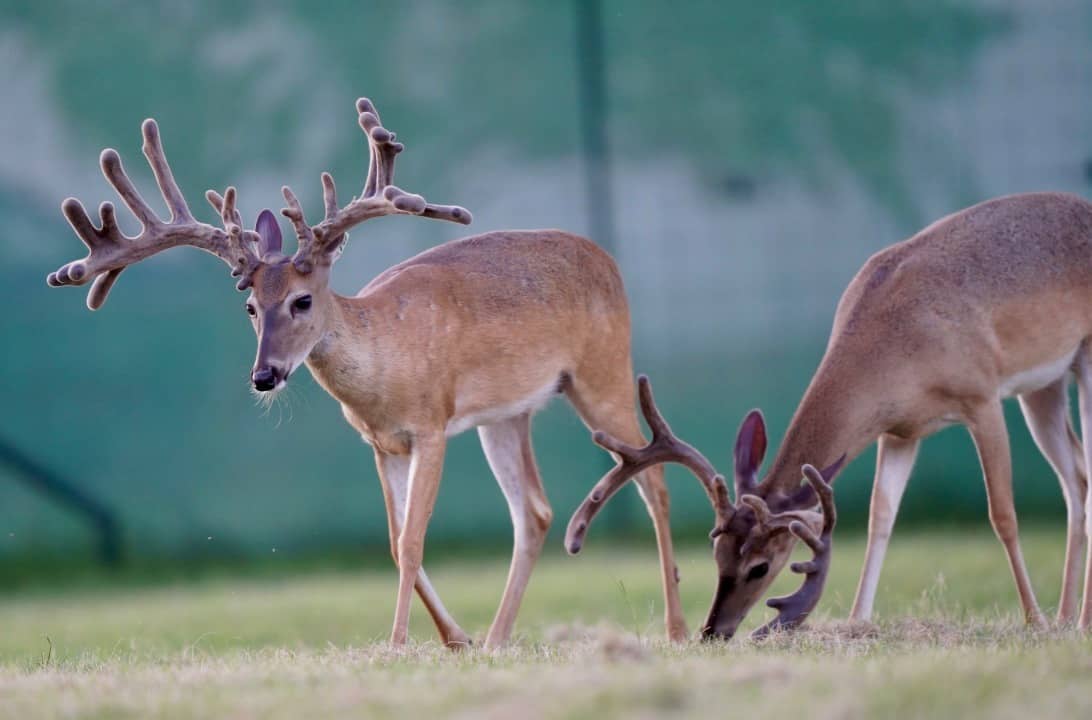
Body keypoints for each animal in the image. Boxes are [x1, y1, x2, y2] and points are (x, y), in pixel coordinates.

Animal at [46, 98, 690, 649]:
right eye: (250, 306)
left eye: (303, 300)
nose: (264, 376)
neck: (385, 363)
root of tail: (609, 260)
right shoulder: (382, 444)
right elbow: (392, 542)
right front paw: (454, 640)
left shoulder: (431, 426)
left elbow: (412, 539)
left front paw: (399, 643)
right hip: (506, 413)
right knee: (533, 511)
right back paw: (497, 639)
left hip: (602, 369)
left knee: (654, 481)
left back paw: (678, 628)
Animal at [567, 192, 1092, 638]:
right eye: (716, 552)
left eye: (760, 566)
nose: (714, 630)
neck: (899, 339)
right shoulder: (900, 429)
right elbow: (881, 516)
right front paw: (859, 621)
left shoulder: (981, 397)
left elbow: (1002, 513)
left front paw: (1032, 620)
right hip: (1043, 386)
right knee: (1076, 477)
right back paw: (1068, 616)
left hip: (1079, 360)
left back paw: (1072, 618)